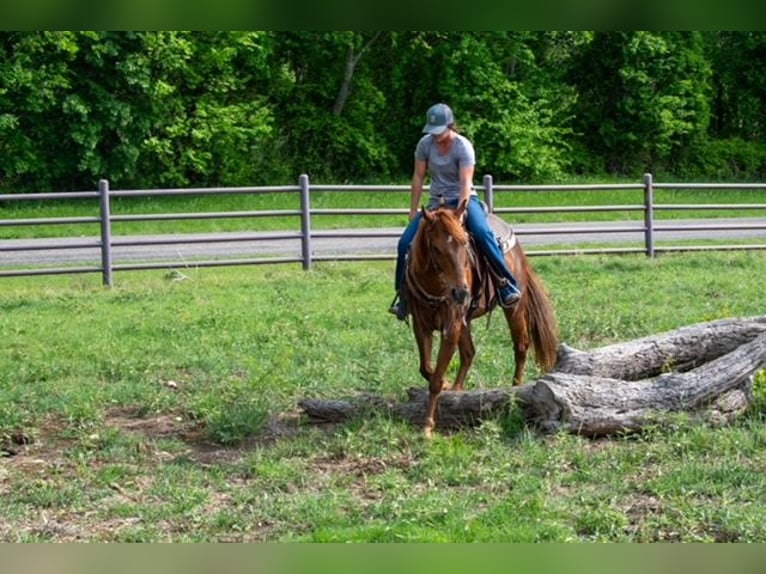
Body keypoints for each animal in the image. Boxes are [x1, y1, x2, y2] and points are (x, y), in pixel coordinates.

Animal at [403, 199, 559, 437]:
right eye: (436, 249)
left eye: (465, 244)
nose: (461, 293)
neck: (435, 286)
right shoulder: (421, 327)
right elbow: (427, 368)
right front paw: (448, 388)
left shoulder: (452, 326)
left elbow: (436, 378)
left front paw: (428, 425)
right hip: (466, 321)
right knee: (469, 353)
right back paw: (458, 389)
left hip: (514, 308)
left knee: (521, 346)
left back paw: (514, 390)